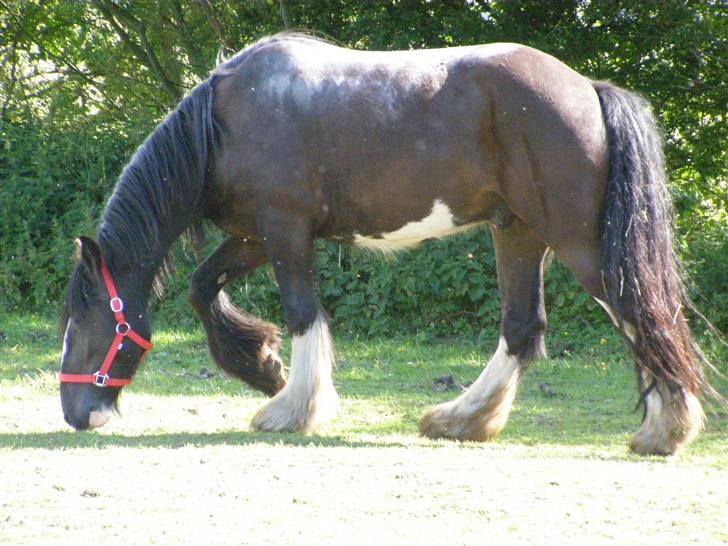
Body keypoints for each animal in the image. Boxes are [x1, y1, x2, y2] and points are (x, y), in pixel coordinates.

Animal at [59, 31, 708, 452]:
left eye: (88, 322)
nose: (75, 413)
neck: (225, 122)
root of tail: (588, 89)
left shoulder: (285, 231)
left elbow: (302, 313)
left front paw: (292, 409)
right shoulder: (254, 235)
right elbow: (202, 288)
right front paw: (264, 368)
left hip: (578, 241)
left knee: (643, 312)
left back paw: (665, 432)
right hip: (518, 233)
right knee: (523, 328)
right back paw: (461, 420)